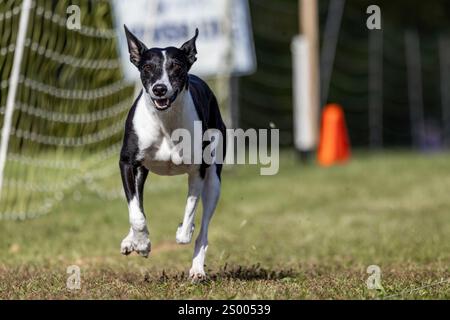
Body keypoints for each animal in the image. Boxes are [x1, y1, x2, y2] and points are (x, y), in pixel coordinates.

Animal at [119, 25, 227, 280]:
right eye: (147, 67)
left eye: (176, 67)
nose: (160, 88)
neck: (165, 122)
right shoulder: (128, 163)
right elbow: (136, 212)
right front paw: (142, 243)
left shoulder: (198, 169)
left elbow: (190, 210)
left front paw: (182, 232)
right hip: (141, 171)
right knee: (137, 200)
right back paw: (131, 241)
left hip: (214, 179)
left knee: (204, 229)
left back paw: (197, 269)